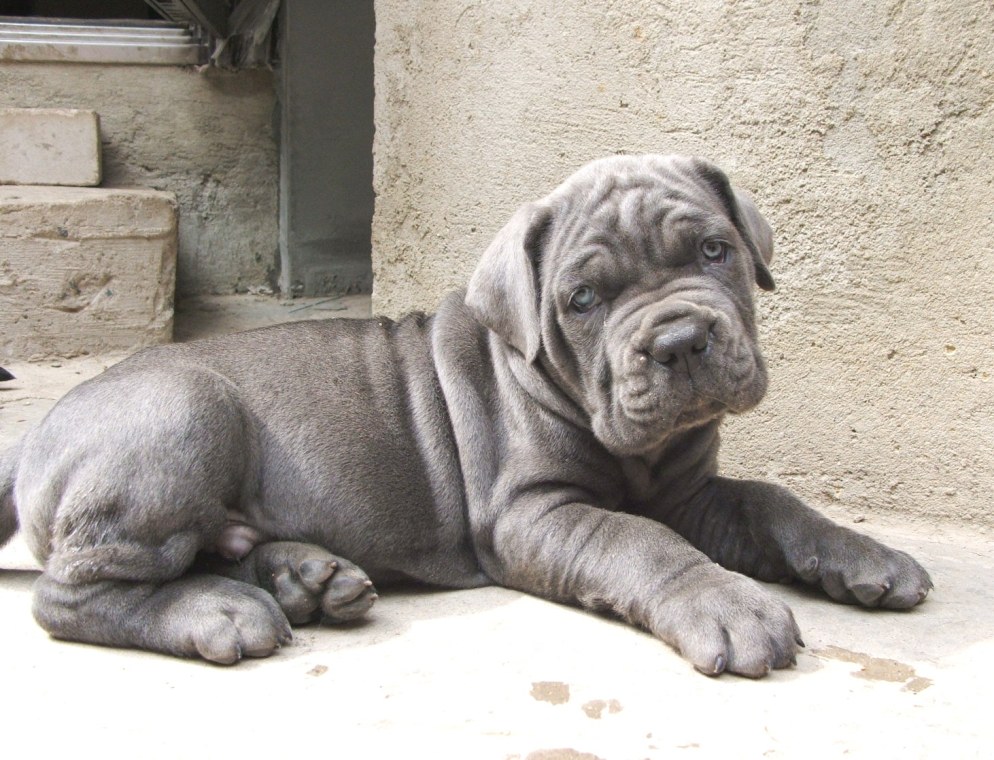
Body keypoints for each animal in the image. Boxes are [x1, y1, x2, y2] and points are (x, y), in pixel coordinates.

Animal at [1, 154, 928, 676]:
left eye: (715, 250)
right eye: (583, 300)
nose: (679, 340)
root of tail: (39, 429)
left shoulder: (693, 494)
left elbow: (773, 503)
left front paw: (865, 555)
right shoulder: (534, 513)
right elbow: (642, 543)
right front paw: (728, 608)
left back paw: (305, 578)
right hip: (183, 413)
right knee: (69, 596)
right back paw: (218, 613)